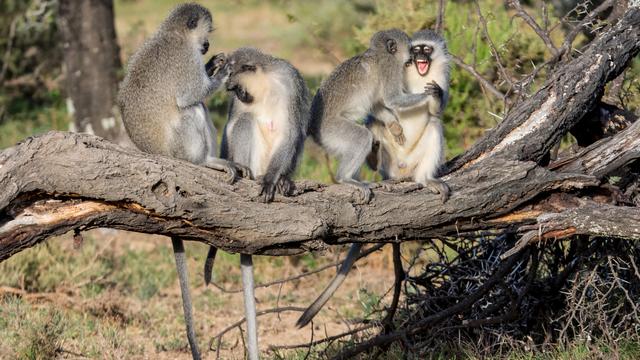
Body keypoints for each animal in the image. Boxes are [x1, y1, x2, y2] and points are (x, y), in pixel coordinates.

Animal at [205, 48, 310, 360]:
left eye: (237, 87)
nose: (239, 94)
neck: (265, 84)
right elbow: (233, 124)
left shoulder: (291, 83)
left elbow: (292, 131)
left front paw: (275, 180)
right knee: (245, 122)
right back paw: (249, 173)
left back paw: (282, 180)